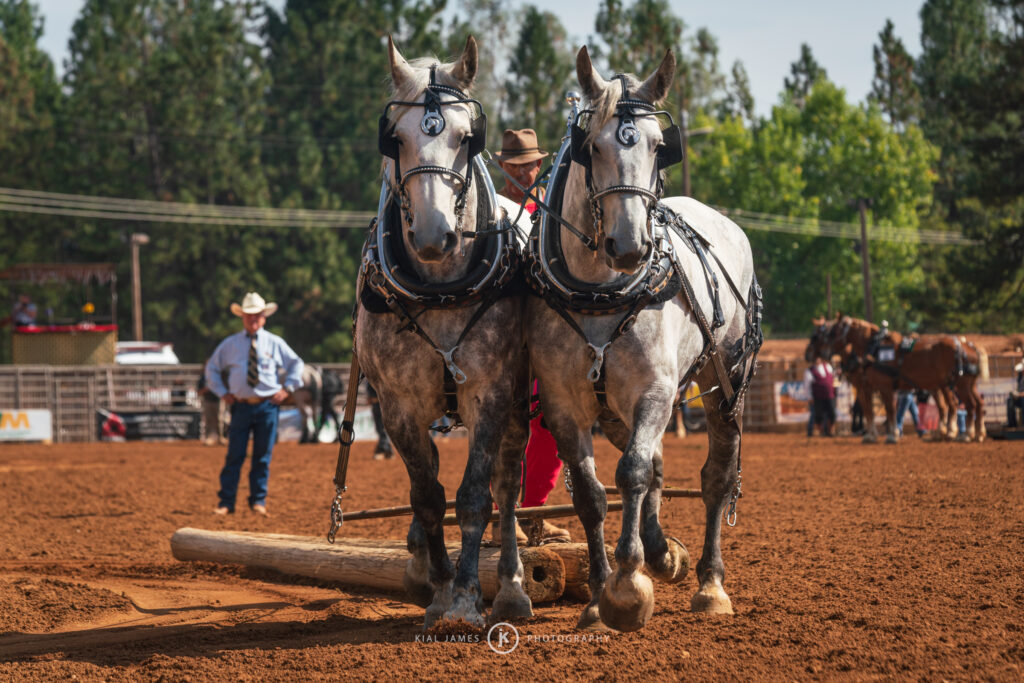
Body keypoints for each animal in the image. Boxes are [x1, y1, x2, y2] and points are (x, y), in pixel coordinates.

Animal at [354, 34, 532, 626]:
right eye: (397, 139)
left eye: (464, 138)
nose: (435, 235)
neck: (438, 289)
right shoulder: (398, 404)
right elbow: (428, 495)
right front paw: (436, 584)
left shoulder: (490, 392)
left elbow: (475, 495)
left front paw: (465, 596)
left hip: (519, 403)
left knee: (508, 482)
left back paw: (512, 586)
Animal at [528, 48, 761, 634]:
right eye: (593, 145)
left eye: (659, 144)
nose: (630, 245)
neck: (598, 291)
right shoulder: (564, 404)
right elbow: (592, 494)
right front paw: (597, 595)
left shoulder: (655, 390)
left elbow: (631, 473)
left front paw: (628, 587)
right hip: (617, 407)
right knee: (652, 462)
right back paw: (664, 554)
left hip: (724, 382)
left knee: (715, 475)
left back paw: (709, 583)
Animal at [802, 313, 987, 444]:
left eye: (829, 332)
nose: (809, 354)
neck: (872, 349)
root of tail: (968, 345)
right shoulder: (869, 387)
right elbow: (870, 411)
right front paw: (873, 435)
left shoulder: (879, 386)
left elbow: (886, 410)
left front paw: (890, 435)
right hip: (961, 384)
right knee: (973, 404)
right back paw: (974, 433)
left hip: (958, 384)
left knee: (966, 405)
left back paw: (964, 434)